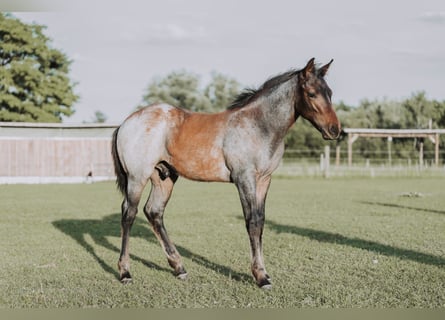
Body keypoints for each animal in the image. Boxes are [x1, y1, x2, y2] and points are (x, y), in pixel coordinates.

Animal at [111, 56, 340, 288]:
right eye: (311, 93)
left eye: (329, 92)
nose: (335, 130)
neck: (258, 126)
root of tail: (126, 123)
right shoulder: (244, 179)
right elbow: (252, 222)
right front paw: (261, 276)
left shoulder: (264, 180)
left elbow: (261, 220)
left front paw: (263, 273)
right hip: (137, 178)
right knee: (129, 214)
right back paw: (125, 272)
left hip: (164, 177)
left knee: (154, 212)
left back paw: (179, 267)